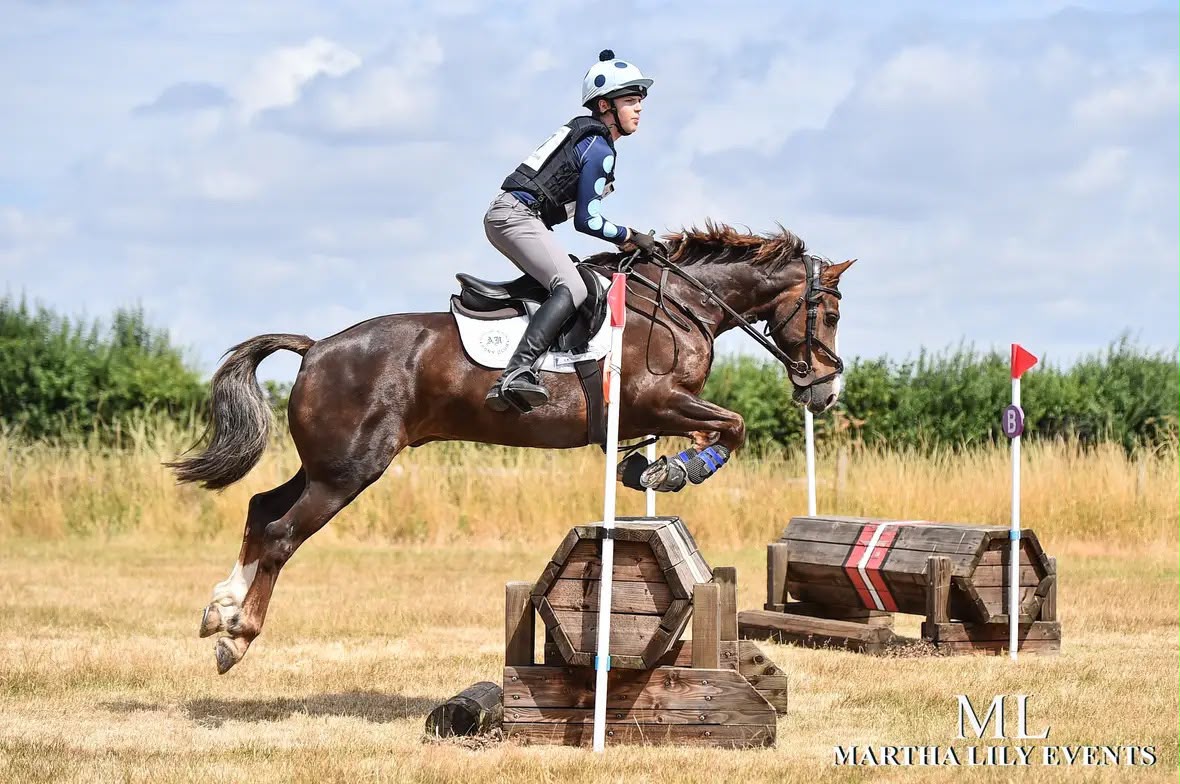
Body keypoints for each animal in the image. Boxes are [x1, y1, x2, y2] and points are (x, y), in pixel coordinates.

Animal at [167, 221, 853, 673]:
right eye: (830, 314)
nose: (825, 389)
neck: (680, 305)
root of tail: (315, 348)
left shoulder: (661, 408)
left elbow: (715, 428)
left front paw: (649, 469)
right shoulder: (655, 398)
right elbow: (732, 426)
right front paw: (677, 470)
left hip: (331, 465)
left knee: (261, 509)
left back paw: (217, 609)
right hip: (349, 470)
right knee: (282, 533)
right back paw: (237, 635)